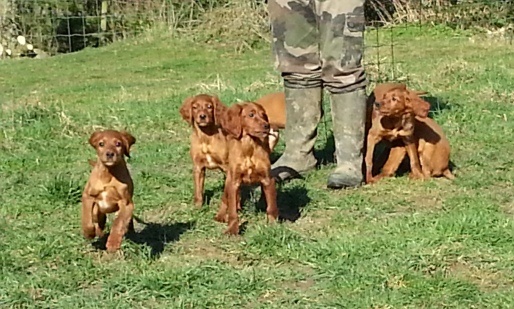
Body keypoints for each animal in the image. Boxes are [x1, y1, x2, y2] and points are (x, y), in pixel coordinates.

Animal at [214, 101, 278, 233]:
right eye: (251, 115)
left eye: (264, 115)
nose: (267, 126)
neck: (249, 147)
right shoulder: (233, 183)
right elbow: (232, 211)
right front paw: (232, 230)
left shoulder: (268, 180)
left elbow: (271, 206)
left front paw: (273, 226)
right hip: (228, 181)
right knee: (225, 199)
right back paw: (220, 215)